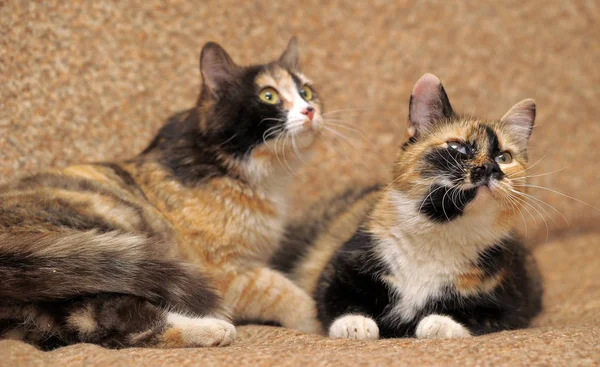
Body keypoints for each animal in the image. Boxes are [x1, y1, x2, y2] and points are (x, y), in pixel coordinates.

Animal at [0, 38, 324, 350]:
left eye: (306, 91)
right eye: (268, 95)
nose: (310, 110)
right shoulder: (227, 274)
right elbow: (281, 289)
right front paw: (322, 322)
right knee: (111, 315)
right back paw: (212, 329)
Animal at [276, 73, 544, 340]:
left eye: (504, 157)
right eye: (457, 147)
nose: (490, 168)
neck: (441, 234)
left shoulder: (511, 298)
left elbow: (483, 317)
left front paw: (439, 324)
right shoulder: (342, 264)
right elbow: (331, 296)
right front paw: (354, 324)